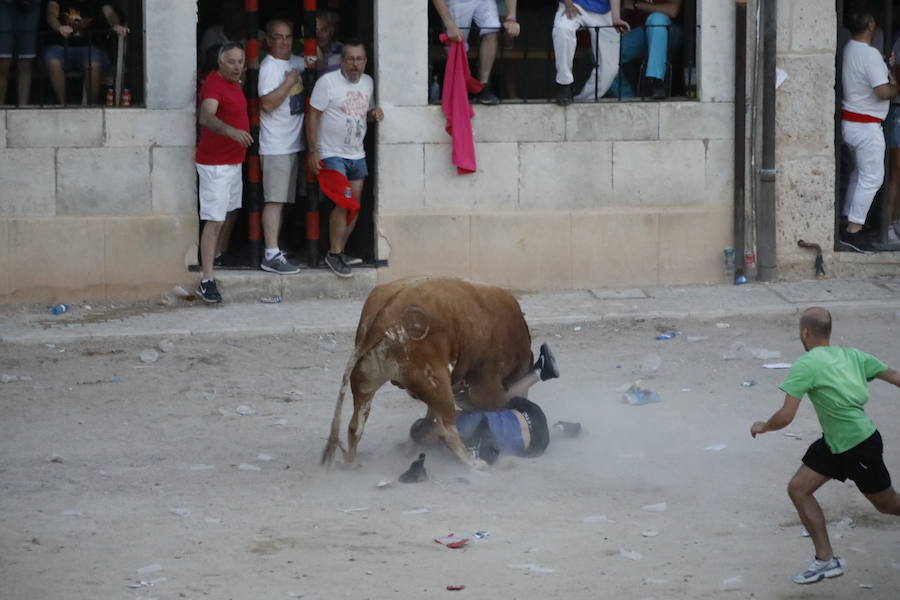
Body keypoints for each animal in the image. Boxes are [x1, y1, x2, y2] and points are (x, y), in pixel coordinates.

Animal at [324, 276, 536, 468]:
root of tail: (385, 315)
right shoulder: (486, 382)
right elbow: (494, 406)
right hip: (434, 382)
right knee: (447, 430)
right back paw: (473, 462)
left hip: (366, 381)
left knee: (355, 426)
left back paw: (351, 462)